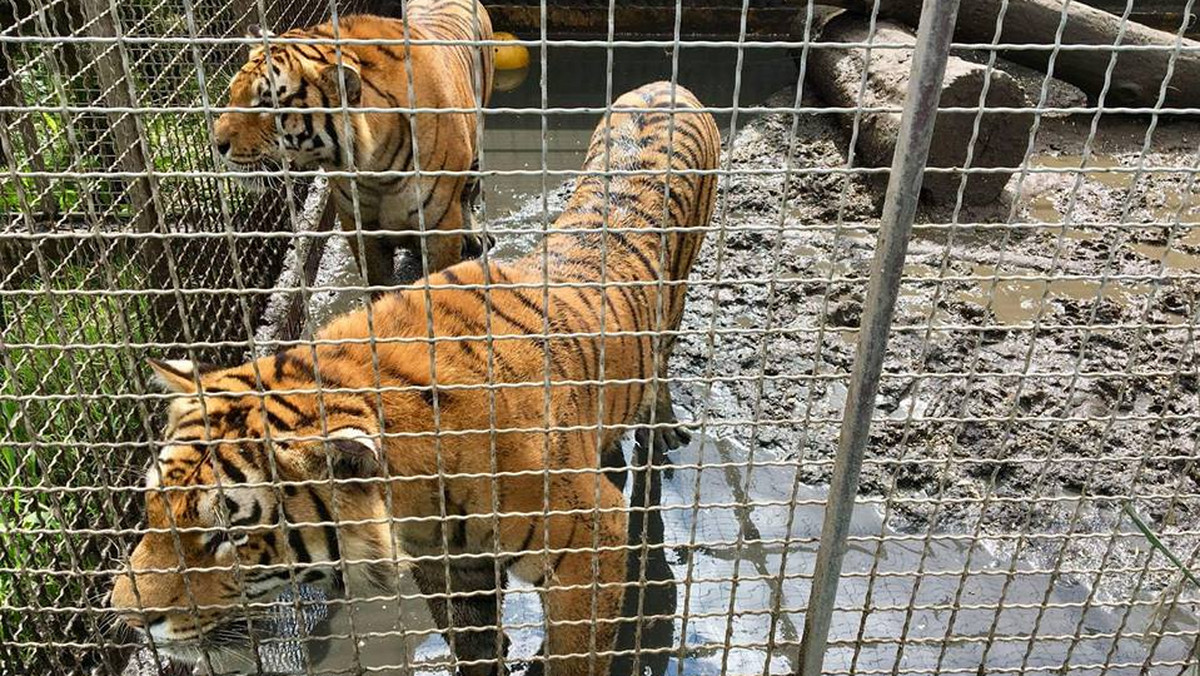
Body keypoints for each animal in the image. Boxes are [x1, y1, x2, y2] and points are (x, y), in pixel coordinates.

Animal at [114, 80, 720, 676]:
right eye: (150, 509)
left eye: (228, 536)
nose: (127, 618)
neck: (416, 490)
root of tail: (661, 85)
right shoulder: (449, 563)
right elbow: (471, 640)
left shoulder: (591, 541)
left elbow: (575, 656)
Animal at [212, 0, 496, 290]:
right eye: (232, 94)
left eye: (267, 103)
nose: (216, 143)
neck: (376, 167)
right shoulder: (359, 226)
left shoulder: (440, 225)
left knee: (466, 196)